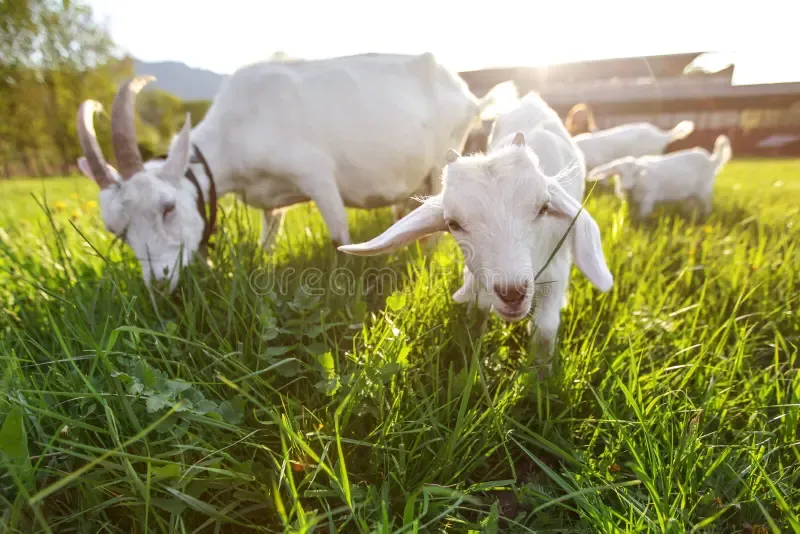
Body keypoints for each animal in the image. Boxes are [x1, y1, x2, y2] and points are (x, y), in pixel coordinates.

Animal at [76, 53, 514, 291]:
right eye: (117, 231)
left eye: (167, 207)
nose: (160, 282)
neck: (235, 128)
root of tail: (470, 98)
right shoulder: (270, 203)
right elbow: (267, 239)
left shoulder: (317, 175)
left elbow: (338, 234)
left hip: (444, 156)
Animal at [338, 92, 613, 361]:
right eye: (453, 224)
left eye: (544, 208)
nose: (512, 293)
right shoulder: (479, 271)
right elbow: (479, 309)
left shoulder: (557, 266)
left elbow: (545, 330)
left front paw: (539, 370)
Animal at [586, 135, 732, 219]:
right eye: (618, 173)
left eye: (636, 173)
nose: (626, 187)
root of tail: (711, 160)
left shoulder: (648, 198)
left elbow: (643, 217)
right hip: (690, 193)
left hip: (704, 189)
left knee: (707, 204)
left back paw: (706, 215)